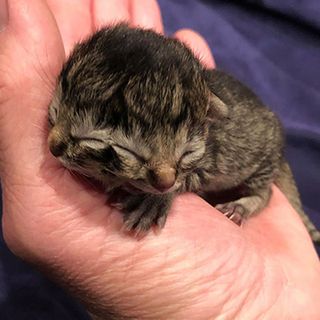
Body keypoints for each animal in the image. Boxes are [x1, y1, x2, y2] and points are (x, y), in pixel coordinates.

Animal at [47, 23, 320, 241]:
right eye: (55, 111)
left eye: (186, 153)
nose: (52, 147)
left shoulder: (206, 163)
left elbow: (188, 178)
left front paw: (154, 201)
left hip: (262, 162)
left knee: (266, 193)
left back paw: (243, 205)